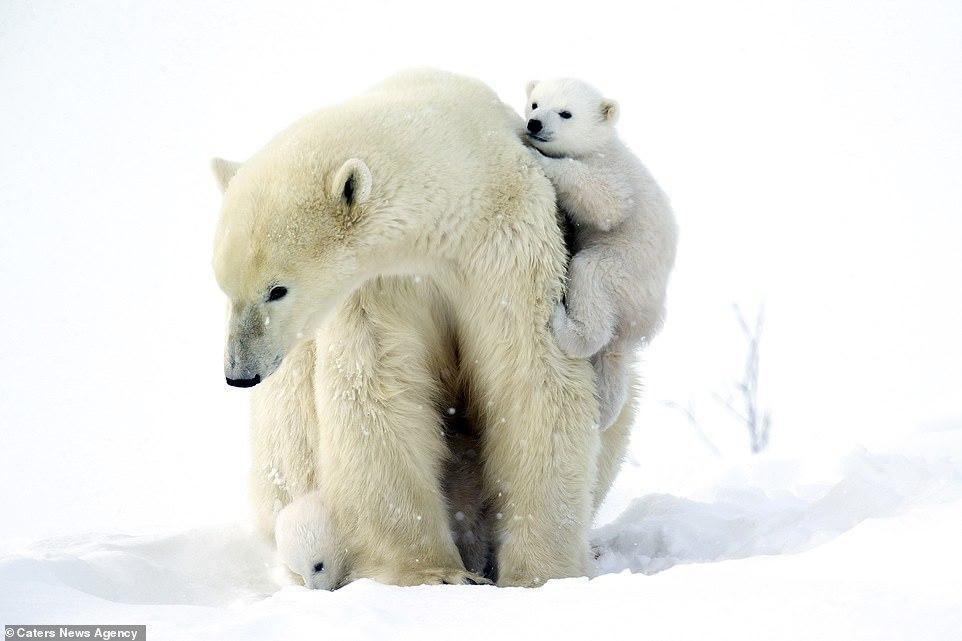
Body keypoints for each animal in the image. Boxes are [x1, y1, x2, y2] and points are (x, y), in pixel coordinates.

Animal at [212, 70, 636, 584]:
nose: (239, 374)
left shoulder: (506, 246)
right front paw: (433, 572)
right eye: (224, 287)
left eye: (277, 289)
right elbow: (378, 388)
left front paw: (539, 573)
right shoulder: (380, 285)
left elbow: (529, 377)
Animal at [524, 79, 676, 430]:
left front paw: (539, 156)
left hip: (625, 271)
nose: (534, 125)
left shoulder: (611, 169)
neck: (602, 142)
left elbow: (607, 200)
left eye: (565, 113)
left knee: (590, 274)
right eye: (536, 103)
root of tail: (638, 328)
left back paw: (565, 324)